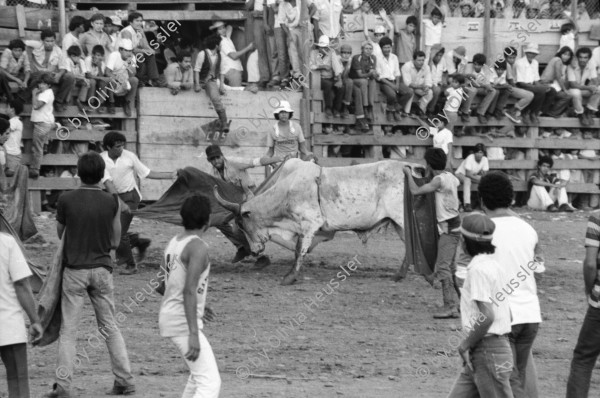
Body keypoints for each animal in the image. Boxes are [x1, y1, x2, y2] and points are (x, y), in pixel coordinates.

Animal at [214, 157, 412, 284]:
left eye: (241, 223)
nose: (254, 251)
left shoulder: (309, 224)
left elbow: (299, 250)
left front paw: (289, 278)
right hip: (398, 223)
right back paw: (399, 276)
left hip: (401, 219)